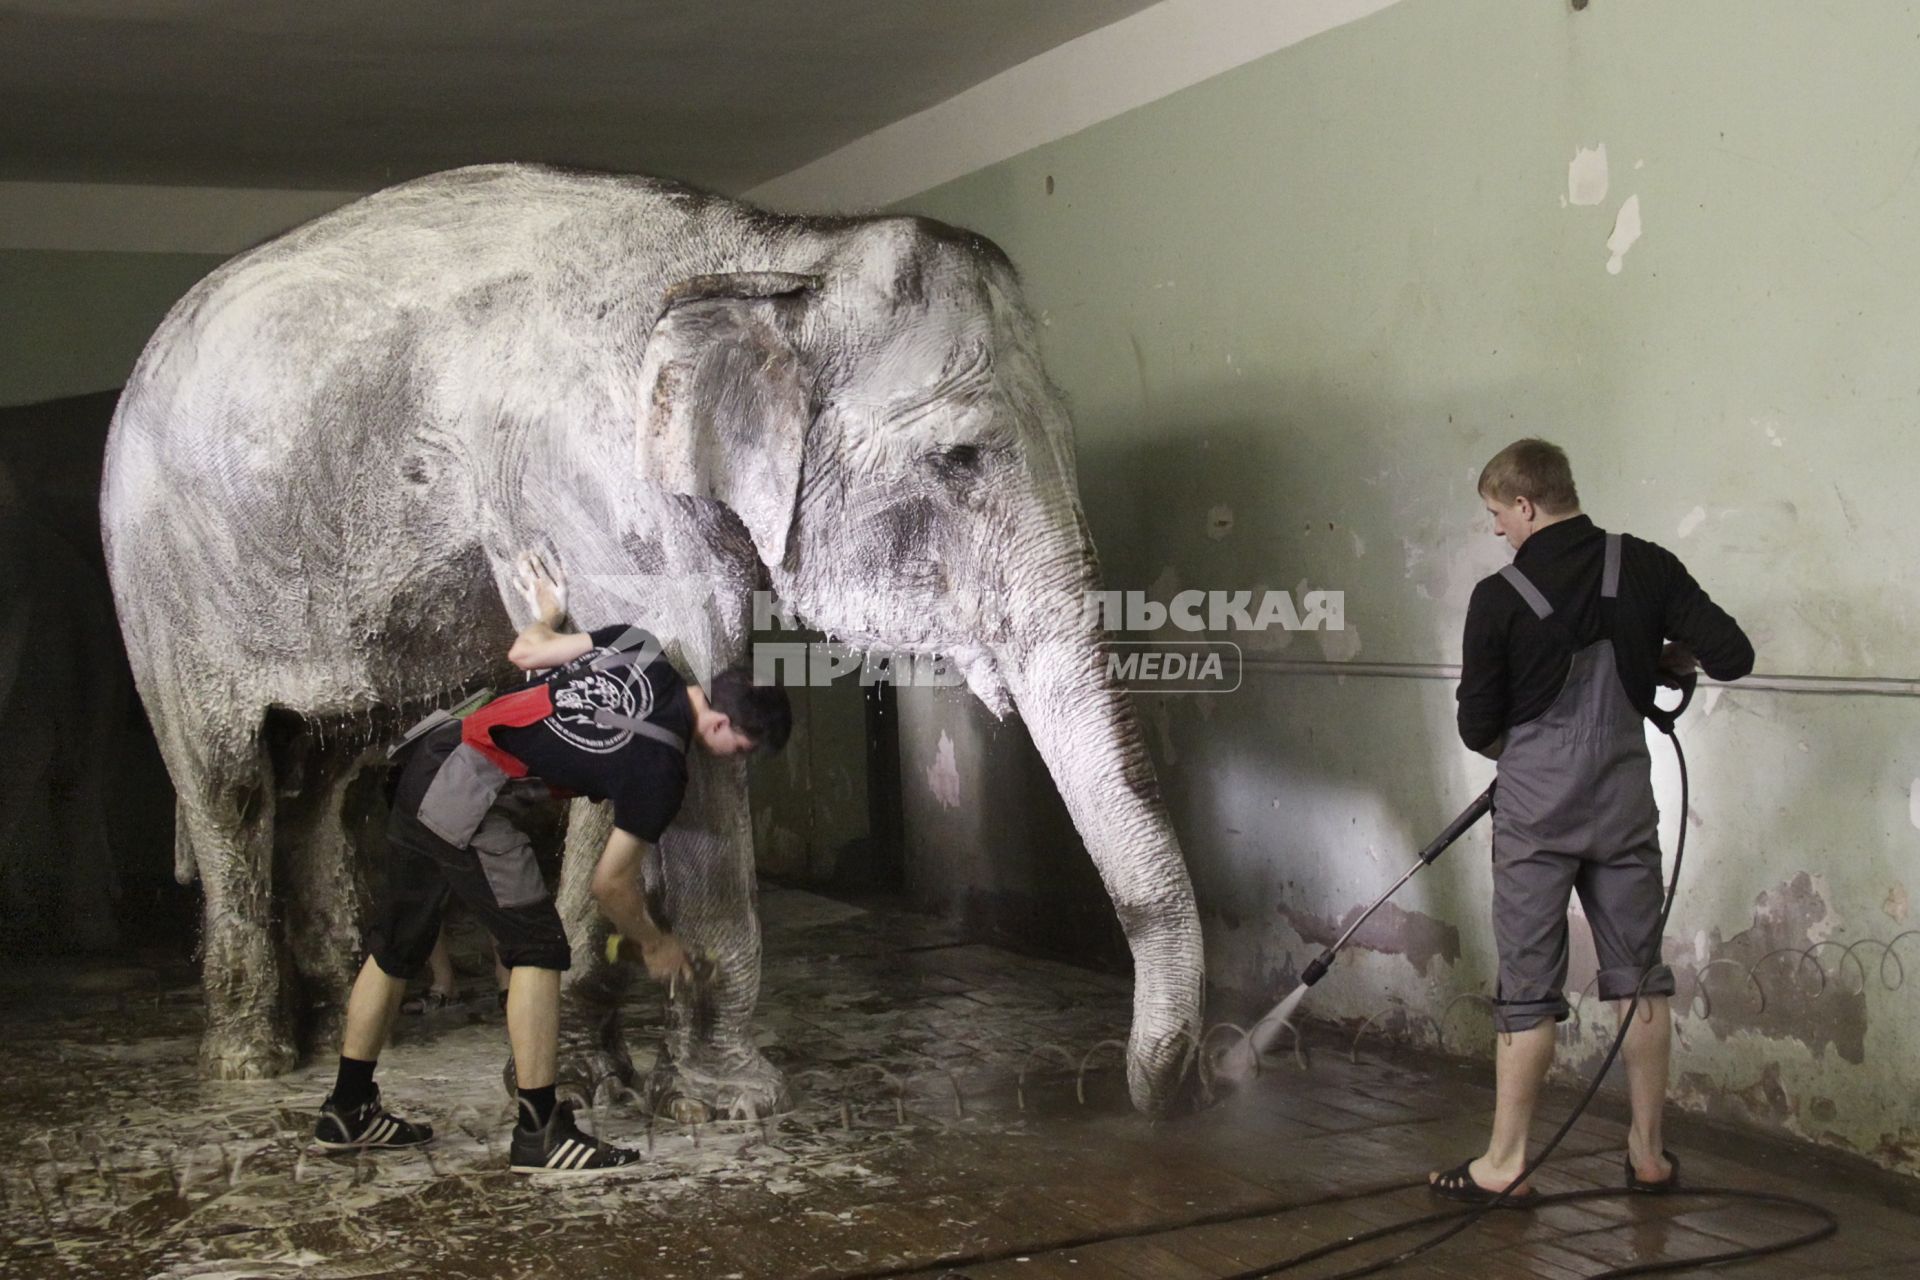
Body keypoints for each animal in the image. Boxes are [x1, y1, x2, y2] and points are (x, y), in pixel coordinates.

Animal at [101, 165, 1198, 1113]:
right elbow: (673, 678)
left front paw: (613, 1074)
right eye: (960, 457)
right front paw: (728, 1101)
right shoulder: (592, 476)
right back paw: (254, 1062)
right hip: (160, 583)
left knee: (320, 776)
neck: (766, 252)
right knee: (231, 781)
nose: (1154, 1095)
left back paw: (354, 1011)